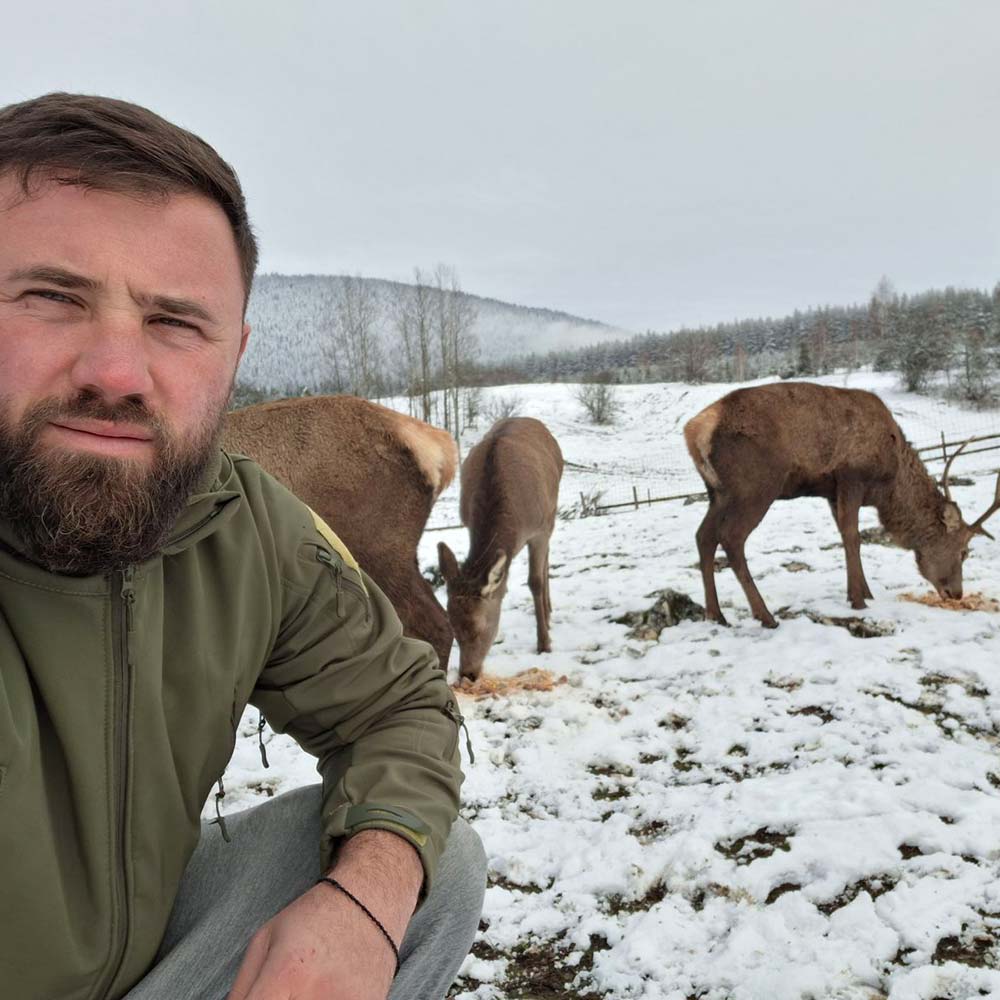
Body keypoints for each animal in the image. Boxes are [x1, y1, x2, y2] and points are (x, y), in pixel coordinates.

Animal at [437, 417, 564, 681]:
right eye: (453, 627)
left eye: (481, 627)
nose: (468, 674)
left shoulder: (539, 530)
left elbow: (535, 581)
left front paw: (544, 643)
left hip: (552, 513)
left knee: (546, 560)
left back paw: (548, 610)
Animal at [684, 382, 1000, 628]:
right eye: (964, 551)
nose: (956, 593)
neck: (888, 481)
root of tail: (693, 432)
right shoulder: (851, 476)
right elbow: (852, 536)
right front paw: (859, 601)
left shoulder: (831, 492)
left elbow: (845, 536)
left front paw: (864, 592)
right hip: (755, 486)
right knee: (731, 538)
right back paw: (765, 616)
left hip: (718, 493)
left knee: (703, 536)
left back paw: (716, 615)